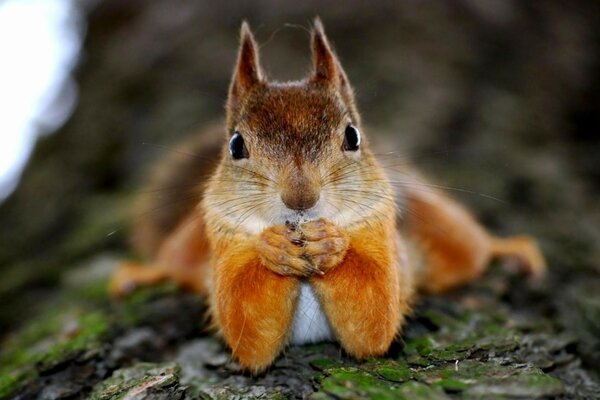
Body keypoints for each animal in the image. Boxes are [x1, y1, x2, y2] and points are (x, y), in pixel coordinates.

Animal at [110, 18, 548, 374]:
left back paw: (510, 248)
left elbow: (375, 317)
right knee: (174, 262)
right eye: (235, 145)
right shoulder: (224, 238)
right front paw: (272, 248)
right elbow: (247, 330)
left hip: (438, 225)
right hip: (190, 242)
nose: (300, 197)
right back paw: (142, 273)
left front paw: (331, 244)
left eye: (352, 136)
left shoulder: (382, 235)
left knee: (472, 249)